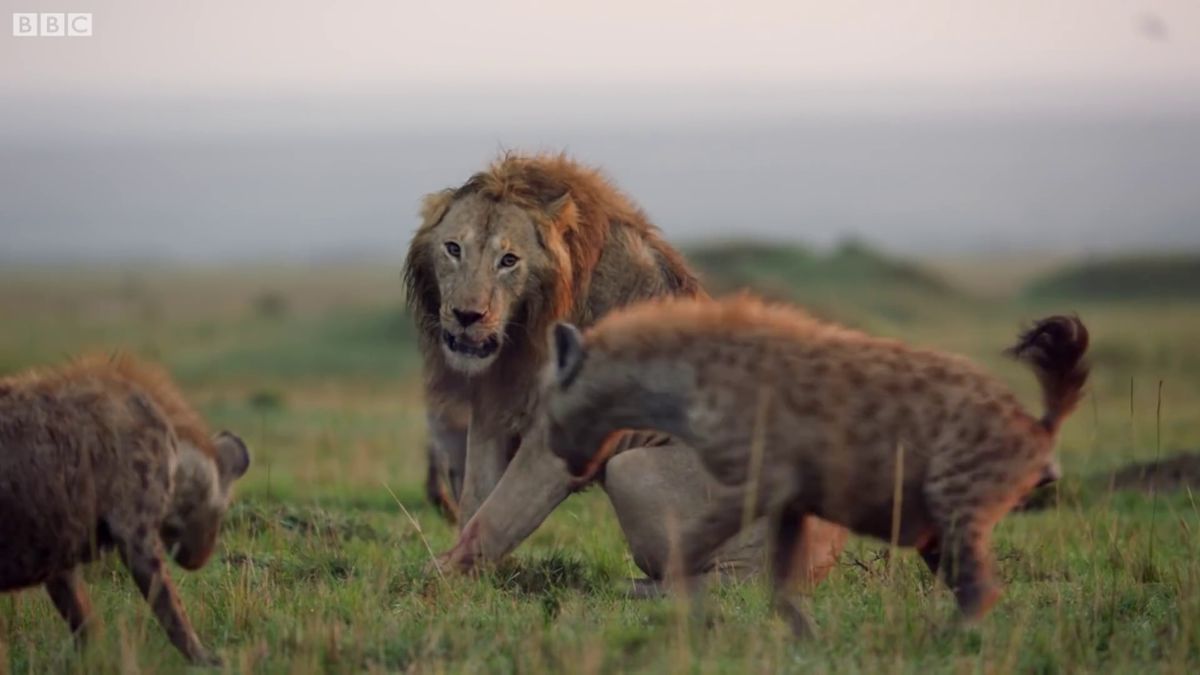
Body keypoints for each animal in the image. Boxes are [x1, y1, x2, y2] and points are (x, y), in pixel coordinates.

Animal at [403, 149, 844, 581]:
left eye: (509, 260)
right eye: (453, 249)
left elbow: (497, 514)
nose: (467, 315)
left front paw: (436, 575)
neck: (526, 330)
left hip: (635, 469)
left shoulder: (562, 437)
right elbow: (476, 497)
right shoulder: (493, 407)